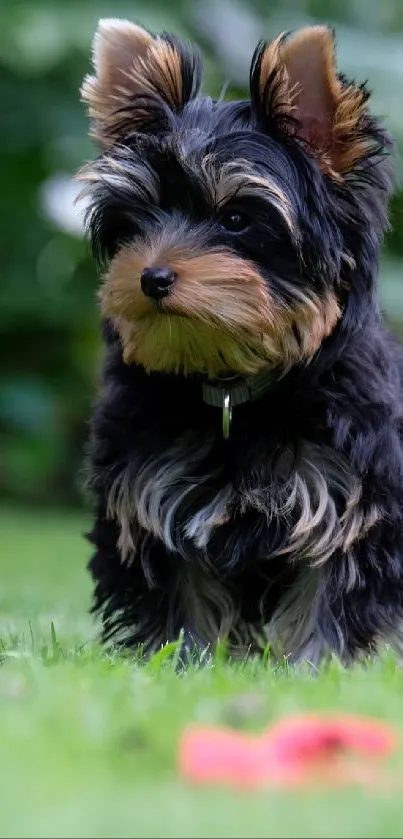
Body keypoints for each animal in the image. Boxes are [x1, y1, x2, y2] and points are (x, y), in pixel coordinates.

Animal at [78, 16, 403, 668]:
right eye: (138, 220)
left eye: (235, 220)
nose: (151, 276)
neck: (235, 385)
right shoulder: (149, 485)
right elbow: (176, 586)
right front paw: (178, 664)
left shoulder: (350, 493)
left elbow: (333, 589)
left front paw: (319, 669)